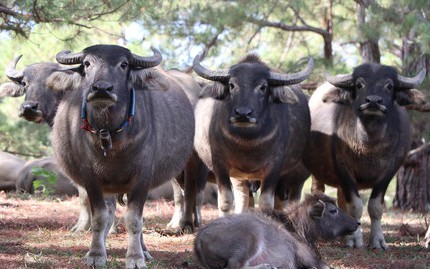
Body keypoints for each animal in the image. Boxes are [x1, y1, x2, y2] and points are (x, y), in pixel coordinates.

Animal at [45, 44, 197, 268]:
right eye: (87, 63)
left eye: (124, 64)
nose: (102, 89)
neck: (110, 135)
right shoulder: (90, 178)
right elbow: (100, 217)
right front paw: (96, 255)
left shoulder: (142, 177)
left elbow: (134, 219)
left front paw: (135, 257)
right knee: (109, 213)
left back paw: (144, 251)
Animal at [192, 54, 312, 214]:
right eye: (231, 85)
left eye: (263, 87)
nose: (243, 114)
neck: (247, 142)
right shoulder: (219, 164)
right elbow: (225, 201)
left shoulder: (275, 167)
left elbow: (266, 203)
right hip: (238, 176)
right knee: (244, 199)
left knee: (281, 201)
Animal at [302, 61, 426, 248]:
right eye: (359, 85)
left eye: (389, 85)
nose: (373, 101)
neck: (369, 146)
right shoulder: (343, 170)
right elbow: (355, 206)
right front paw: (355, 240)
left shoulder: (389, 171)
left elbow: (375, 206)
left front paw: (378, 241)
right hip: (317, 172)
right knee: (319, 191)